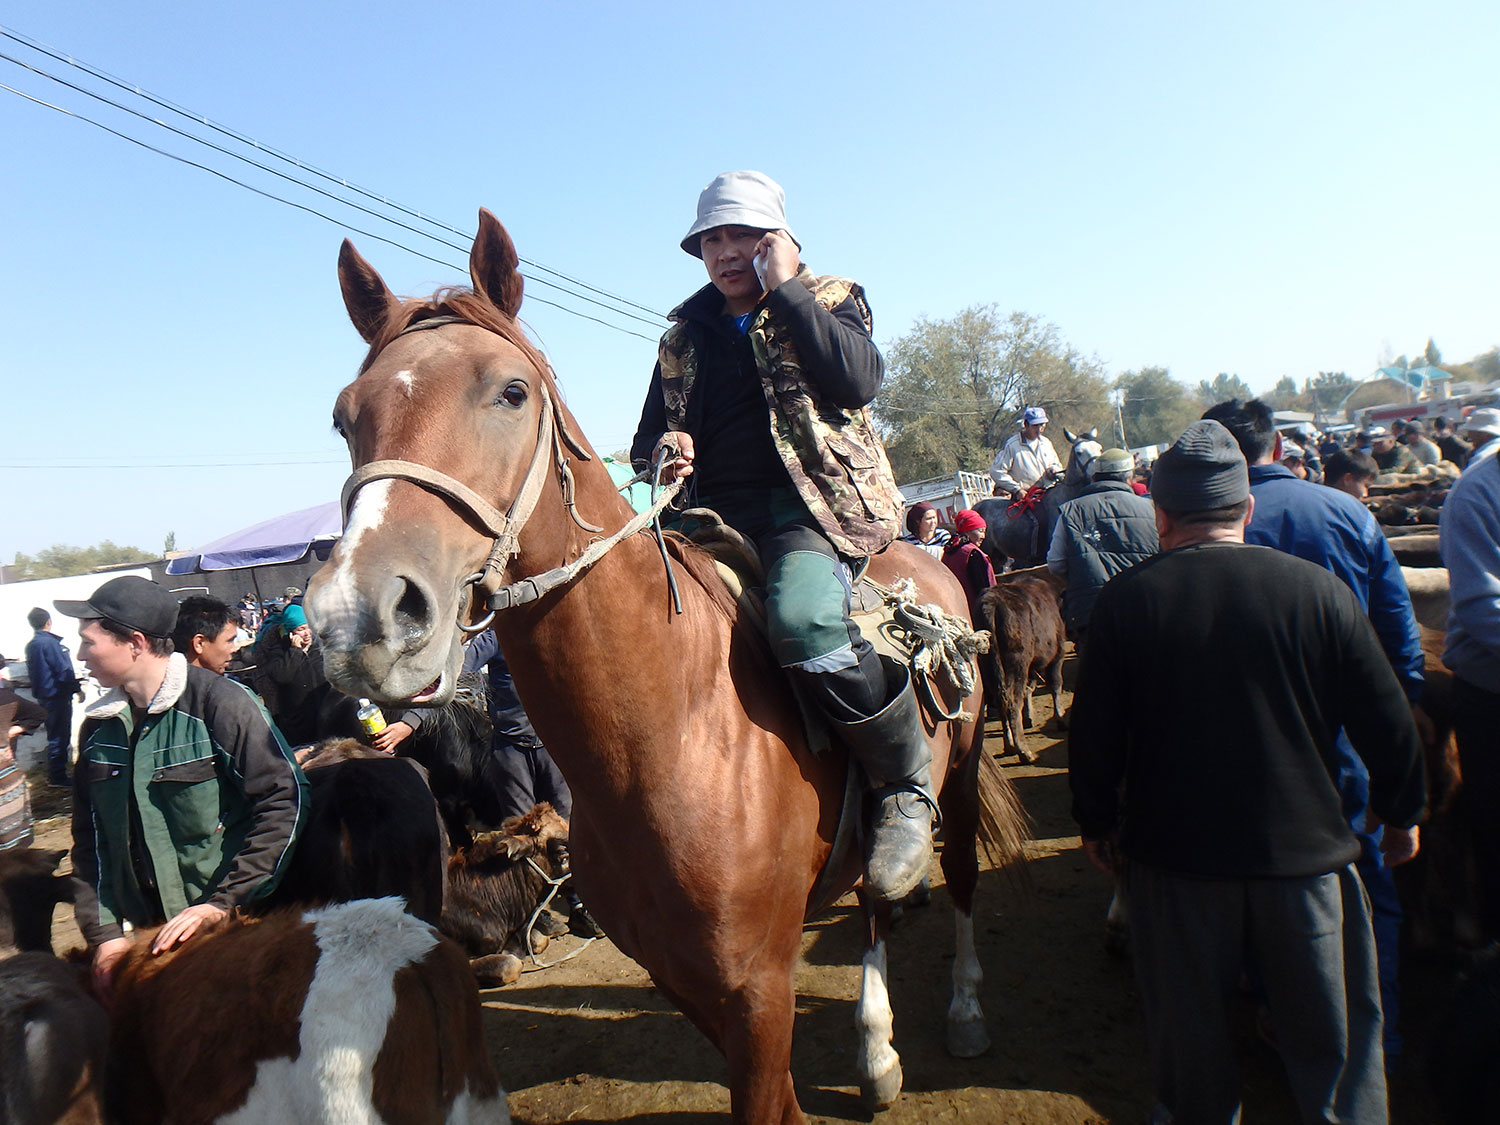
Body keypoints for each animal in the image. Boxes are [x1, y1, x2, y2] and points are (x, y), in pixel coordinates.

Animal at [304, 213, 1032, 1125]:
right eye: (344, 417)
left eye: (511, 391)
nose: (360, 616)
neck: (667, 734)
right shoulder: (693, 984)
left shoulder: (759, 988)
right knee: (873, 903)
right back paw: (876, 1050)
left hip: (959, 775)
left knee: (959, 874)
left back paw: (963, 1006)